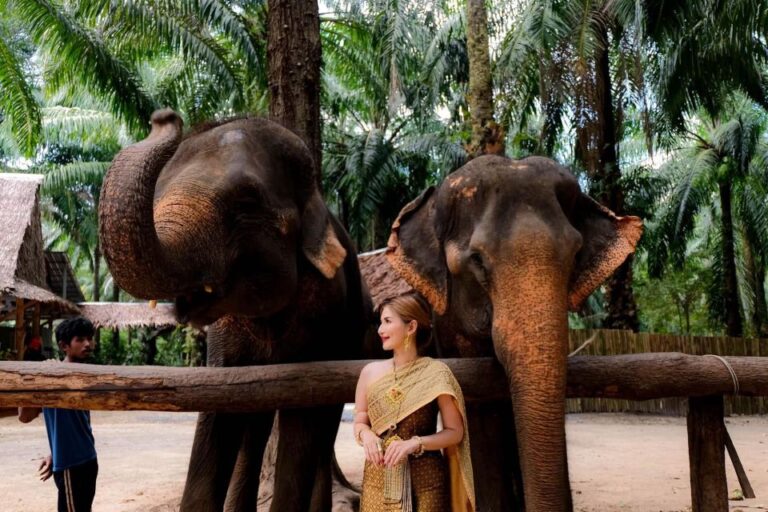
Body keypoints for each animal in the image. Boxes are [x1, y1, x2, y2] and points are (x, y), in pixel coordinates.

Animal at [100, 110, 372, 510]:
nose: (164, 117)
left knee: (323, 425)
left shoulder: (325, 314)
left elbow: (303, 420)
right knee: (256, 426)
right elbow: (220, 404)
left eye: (246, 203)